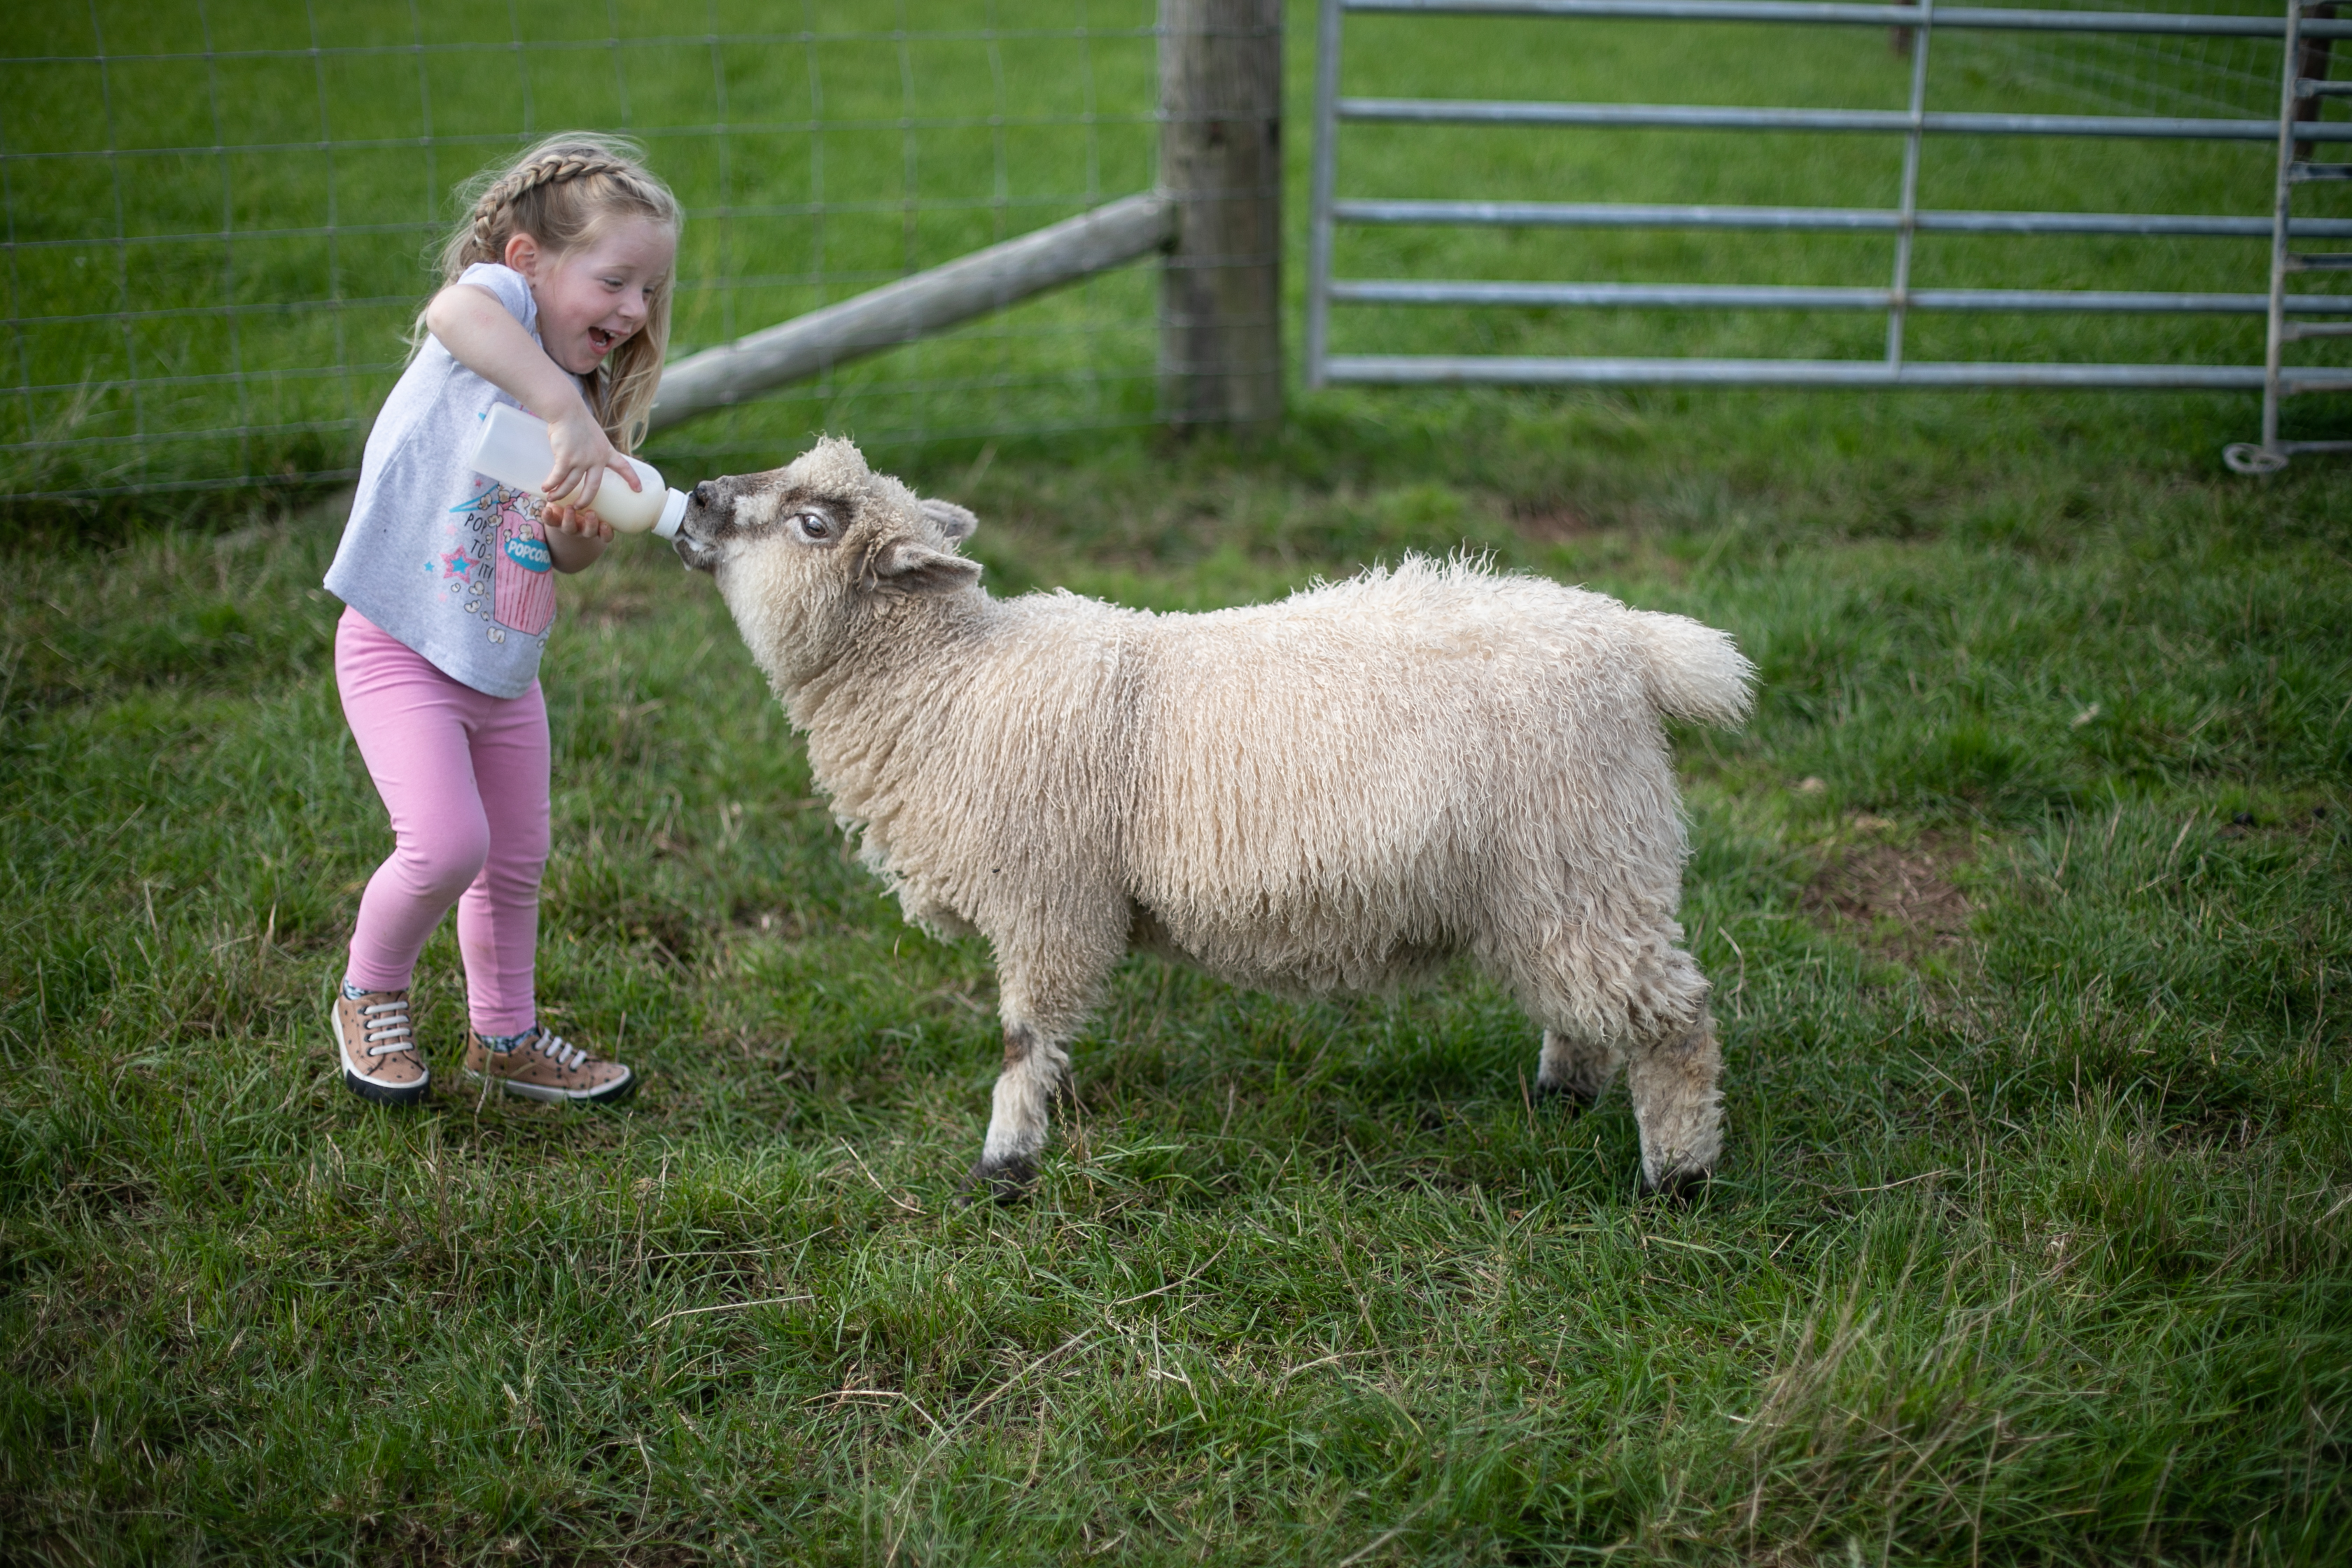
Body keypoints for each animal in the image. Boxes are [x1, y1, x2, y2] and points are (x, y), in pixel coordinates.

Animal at [675, 439, 1756, 1203]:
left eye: (815, 522)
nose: (696, 497)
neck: (947, 682)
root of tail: (1627, 641)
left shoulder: (1050, 901)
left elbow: (1024, 1038)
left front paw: (1005, 1166)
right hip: (1552, 879)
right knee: (1584, 1009)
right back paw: (1559, 1101)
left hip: (1585, 855)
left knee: (1678, 1024)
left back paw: (1679, 1179)